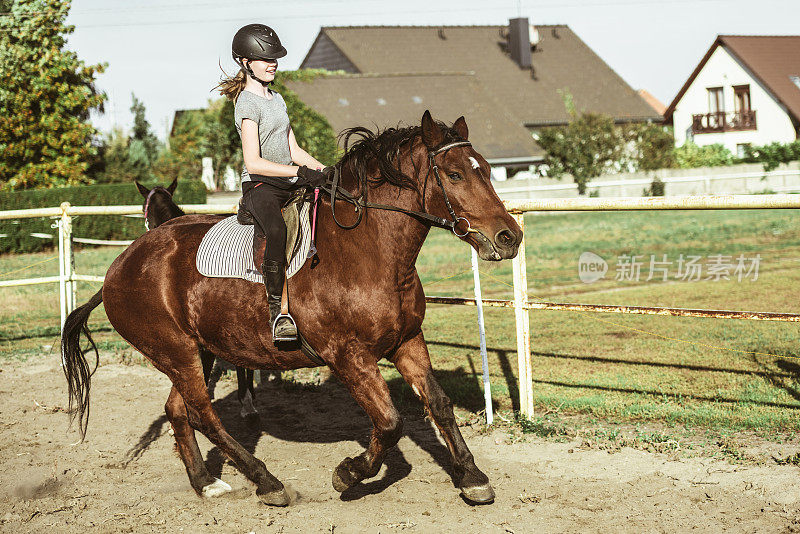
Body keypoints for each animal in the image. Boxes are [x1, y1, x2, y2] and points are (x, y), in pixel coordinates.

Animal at [64, 112, 524, 506]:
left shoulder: (407, 341)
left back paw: (206, 482)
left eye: (486, 168)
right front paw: (348, 473)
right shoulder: (348, 356)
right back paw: (267, 482)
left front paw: (472, 478)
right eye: (455, 174)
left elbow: (440, 406)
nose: (510, 237)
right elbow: (390, 423)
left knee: (179, 410)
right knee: (203, 414)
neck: (370, 252)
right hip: (176, 352)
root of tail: (119, 265)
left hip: (197, 351)